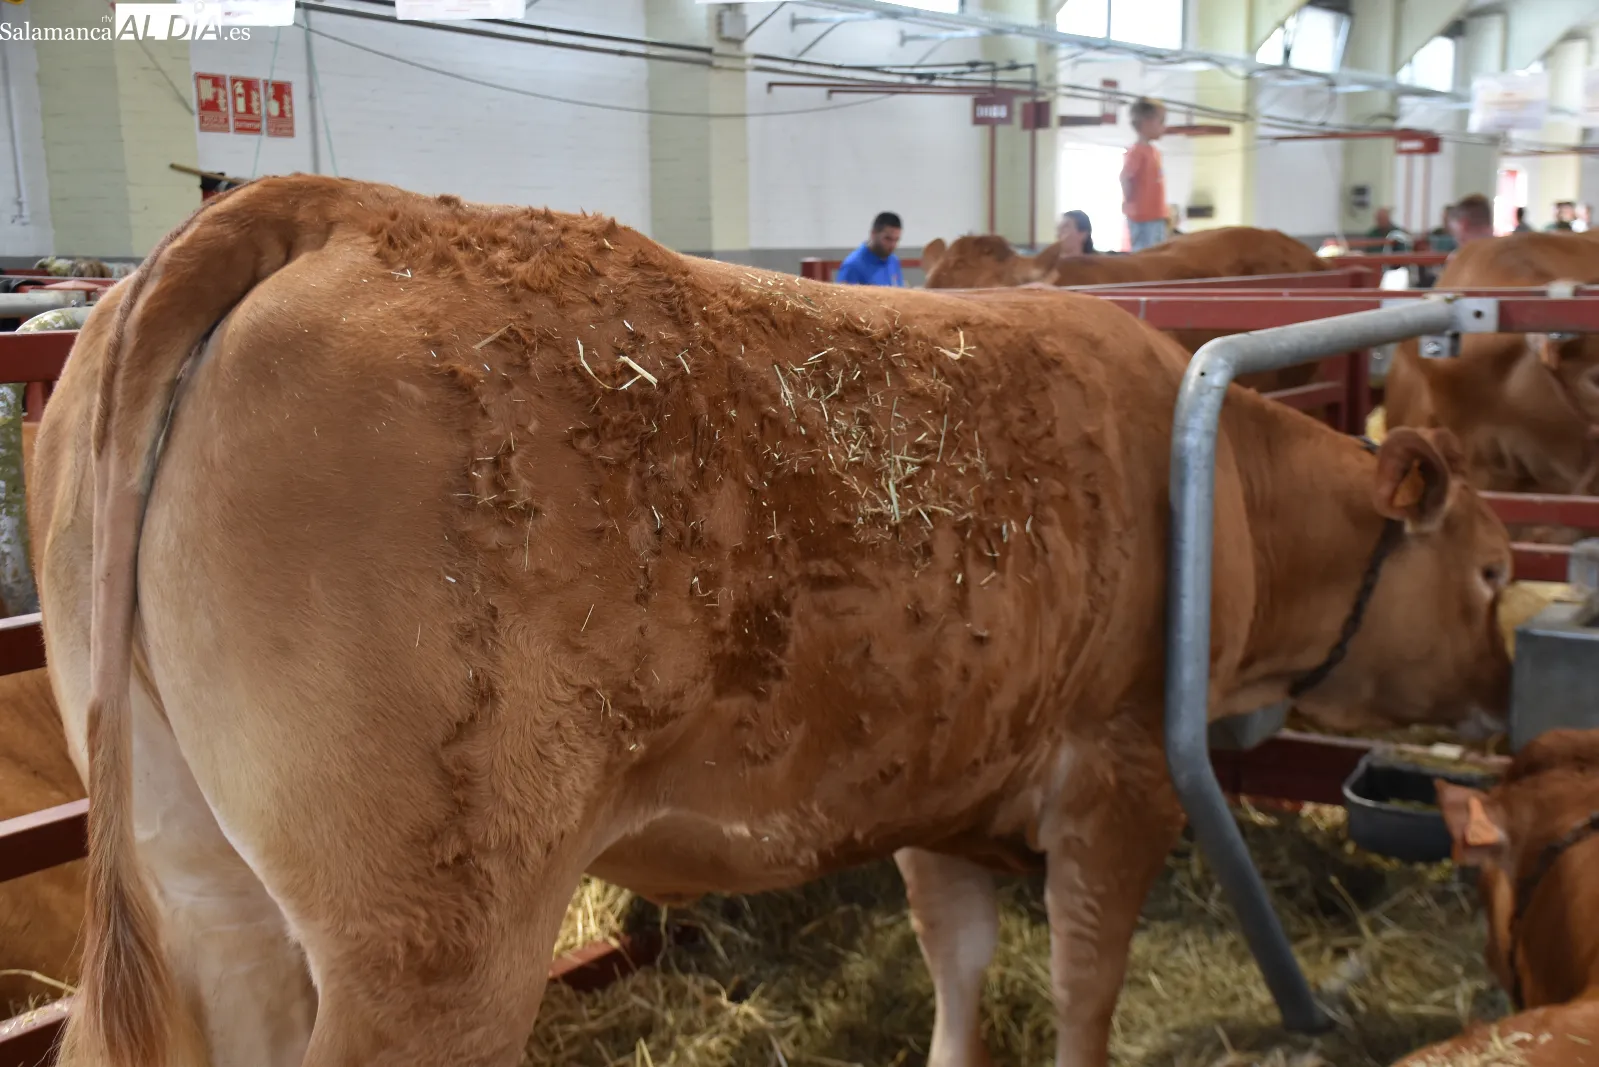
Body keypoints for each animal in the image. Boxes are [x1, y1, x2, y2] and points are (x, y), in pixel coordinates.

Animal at [32, 175, 1513, 1067]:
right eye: (1497, 566)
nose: (1505, 693)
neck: (1224, 488)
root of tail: (333, 206)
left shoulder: (941, 777)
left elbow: (960, 965)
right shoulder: (1121, 774)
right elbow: (1083, 985)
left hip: (203, 886)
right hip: (429, 939)